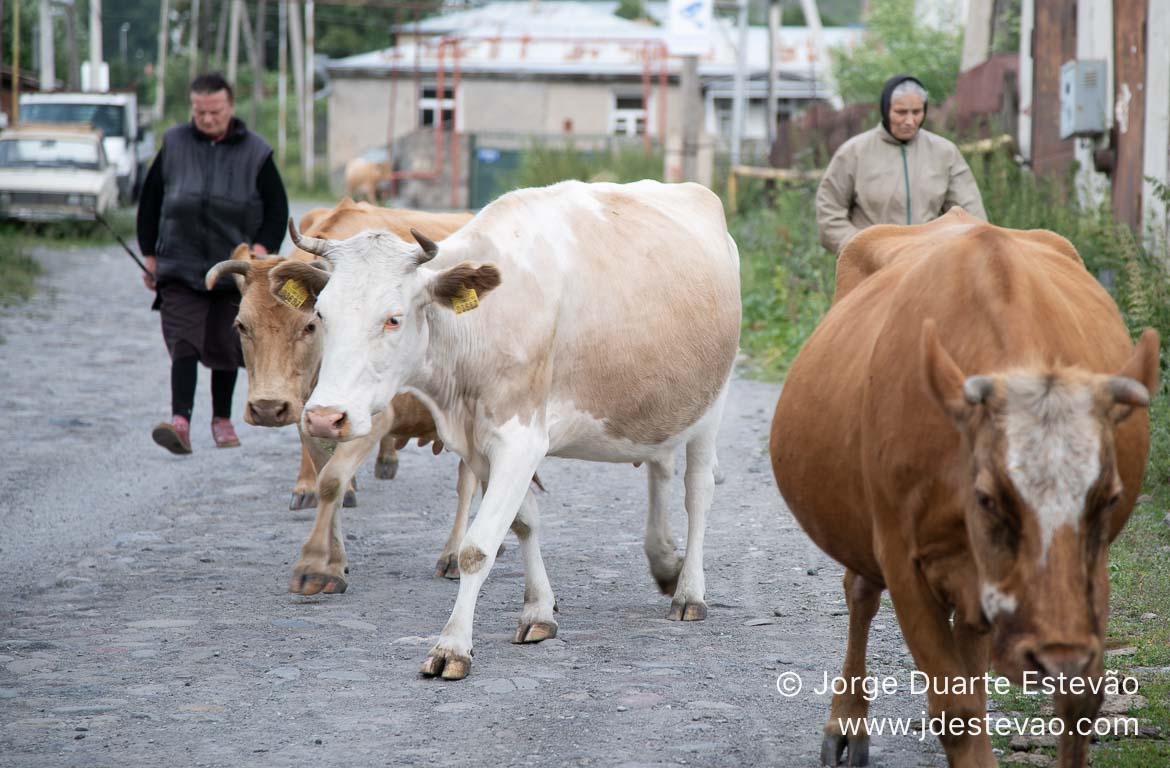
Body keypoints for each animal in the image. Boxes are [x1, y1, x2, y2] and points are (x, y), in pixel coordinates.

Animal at [205, 199, 475, 594]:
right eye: (242, 325)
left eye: (308, 325)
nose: (268, 408)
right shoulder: (313, 416)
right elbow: (325, 479)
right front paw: (334, 563)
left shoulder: (373, 419)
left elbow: (334, 480)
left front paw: (315, 566)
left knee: (467, 482)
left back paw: (454, 554)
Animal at [273, 180, 739, 679]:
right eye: (321, 315)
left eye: (393, 317)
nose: (325, 416)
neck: (475, 329)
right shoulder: (481, 443)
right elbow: (523, 523)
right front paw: (538, 612)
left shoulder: (520, 440)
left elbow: (477, 548)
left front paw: (452, 646)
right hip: (659, 402)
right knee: (659, 469)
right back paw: (665, 561)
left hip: (713, 402)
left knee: (697, 492)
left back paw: (689, 591)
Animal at [767, 206, 1160, 768]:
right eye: (988, 497)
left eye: (1107, 498)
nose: (1054, 652)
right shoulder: (902, 558)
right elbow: (956, 710)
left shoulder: (1090, 565)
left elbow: (1079, 699)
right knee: (860, 595)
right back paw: (846, 725)